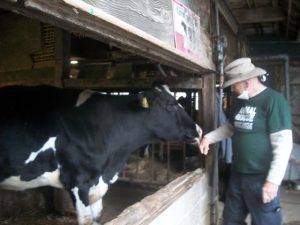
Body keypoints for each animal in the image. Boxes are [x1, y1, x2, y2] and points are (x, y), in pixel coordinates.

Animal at [0, 83, 203, 225]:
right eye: (171, 105)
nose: (199, 131)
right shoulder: (77, 182)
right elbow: (86, 219)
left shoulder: (98, 184)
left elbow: (97, 217)